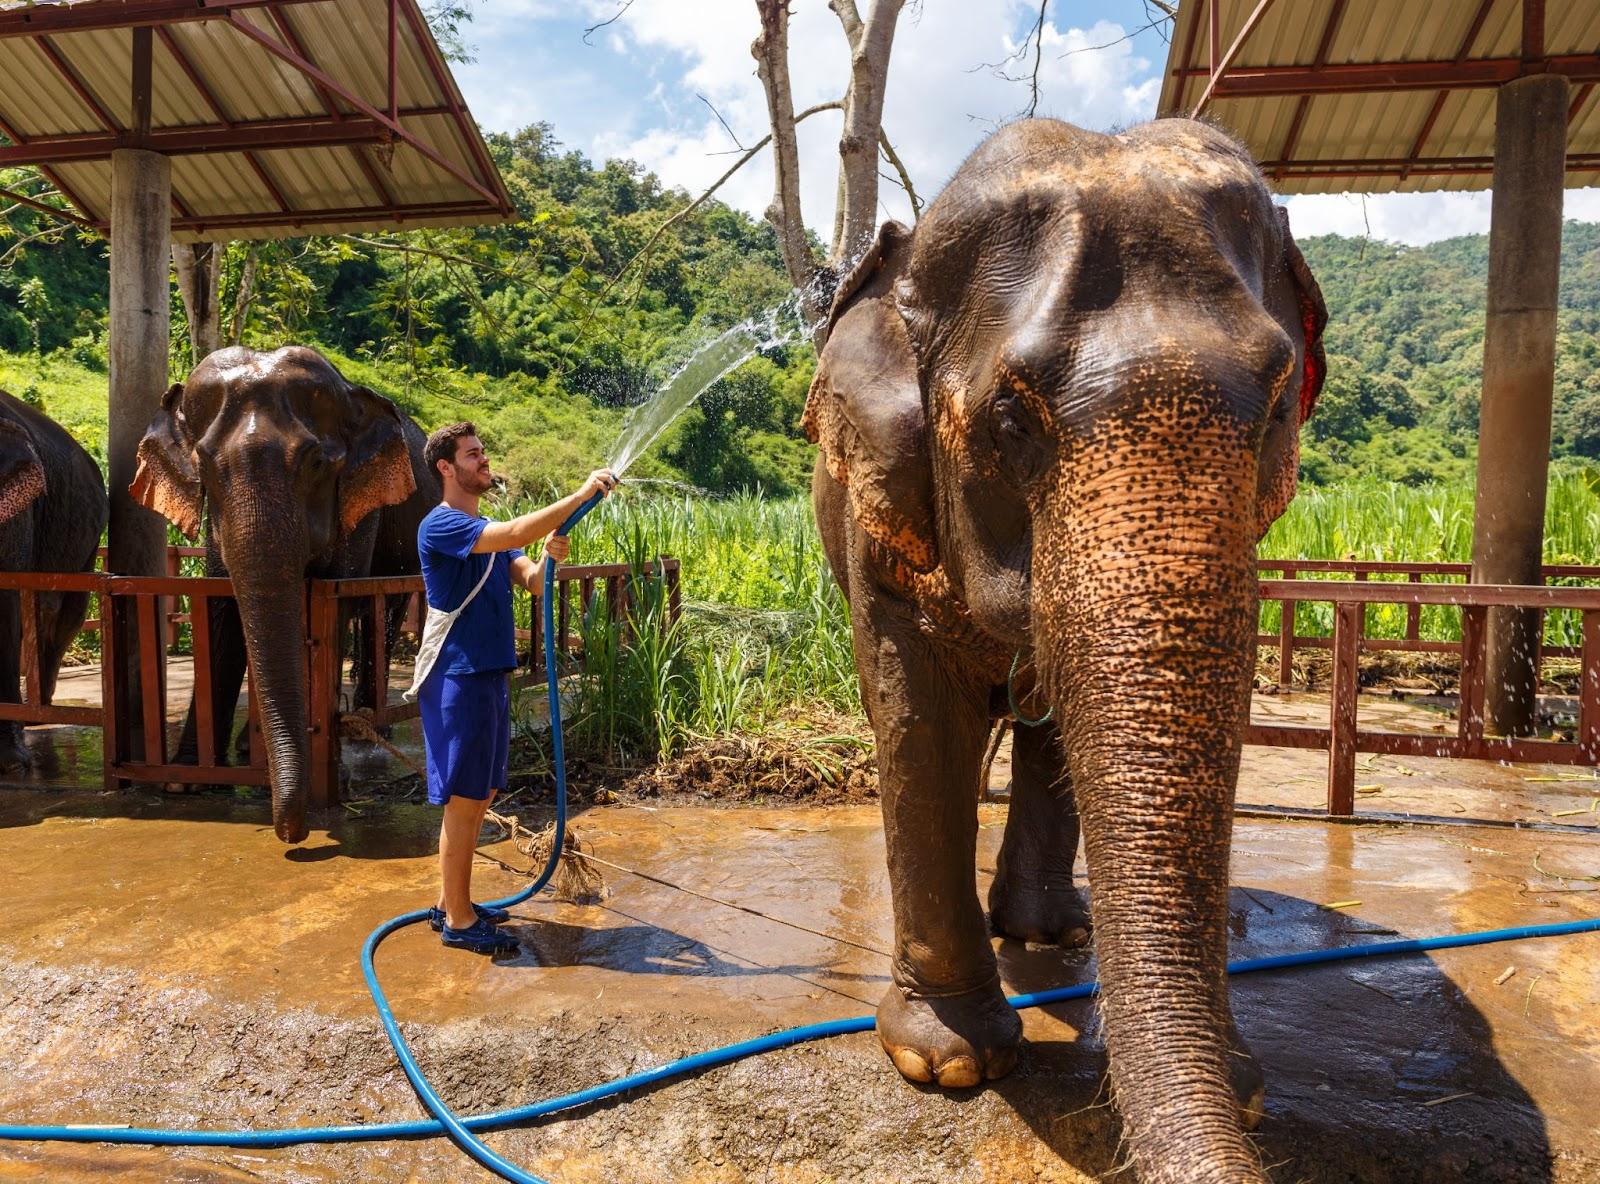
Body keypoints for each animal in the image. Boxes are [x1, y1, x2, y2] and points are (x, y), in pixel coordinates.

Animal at [131, 342, 435, 844]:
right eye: (204, 465)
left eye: (316, 464)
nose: (292, 835)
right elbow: (222, 610)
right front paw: (184, 780)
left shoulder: (358, 507)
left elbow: (334, 602)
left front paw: (332, 776)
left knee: (383, 612)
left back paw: (366, 730)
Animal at [806, 120, 1331, 1184]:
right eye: (1012, 421)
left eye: (1275, 410)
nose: (1244, 1106)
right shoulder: (879, 519)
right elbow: (918, 718)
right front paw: (951, 1065)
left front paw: (1240, 1087)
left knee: (1047, 728)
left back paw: (1050, 932)